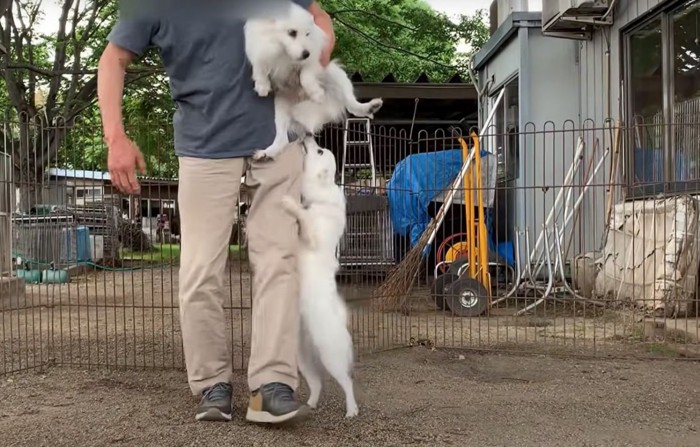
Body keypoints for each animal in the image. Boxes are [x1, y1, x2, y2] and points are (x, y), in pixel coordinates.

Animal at [245, 2, 382, 161]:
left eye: (307, 34)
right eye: (292, 32)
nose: (306, 53)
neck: (283, 53)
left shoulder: (315, 62)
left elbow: (305, 76)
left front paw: (316, 93)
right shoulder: (260, 52)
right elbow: (259, 68)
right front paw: (262, 86)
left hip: (338, 76)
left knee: (351, 103)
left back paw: (370, 107)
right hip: (281, 108)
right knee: (282, 139)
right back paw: (266, 153)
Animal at [278, 137, 358, 420]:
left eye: (320, 150)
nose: (308, 136)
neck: (321, 198)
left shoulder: (312, 235)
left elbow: (303, 216)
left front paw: (290, 204)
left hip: (331, 356)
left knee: (347, 382)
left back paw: (352, 410)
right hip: (304, 360)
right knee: (318, 384)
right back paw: (309, 405)